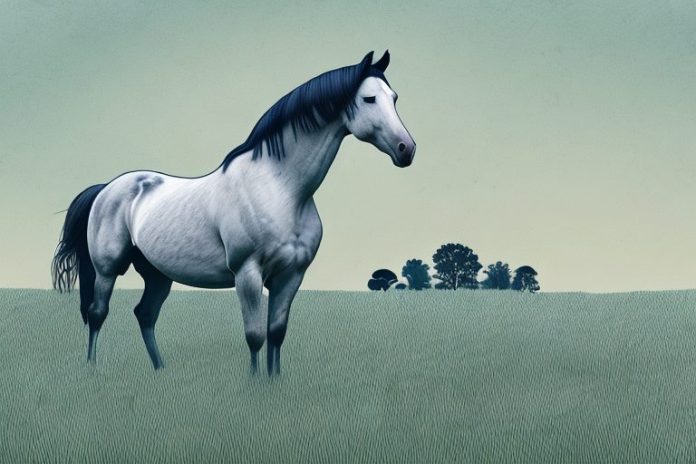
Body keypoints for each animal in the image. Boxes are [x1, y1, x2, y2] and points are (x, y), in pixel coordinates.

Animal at [51, 50, 416, 376]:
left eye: (394, 97)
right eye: (369, 98)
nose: (407, 149)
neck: (280, 190)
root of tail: (107, 188)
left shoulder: (291, 275)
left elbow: (276, 334)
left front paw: (274, 383)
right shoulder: (248, 273)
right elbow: (254, 336)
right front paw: (254, 387)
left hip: (157, 274)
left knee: (144, 314)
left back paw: (160, 370)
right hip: (107, 270)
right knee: (97, 314)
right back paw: (92, 369)